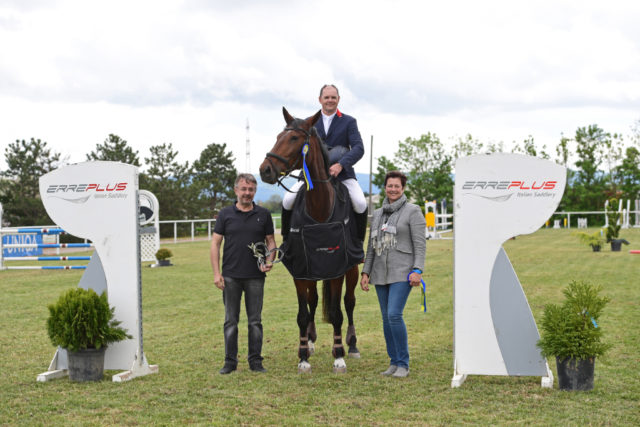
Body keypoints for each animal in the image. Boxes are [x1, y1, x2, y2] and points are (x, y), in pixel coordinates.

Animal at [258, 108, 360, 374]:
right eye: (278, 136)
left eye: (294, 138)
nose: (265, 170)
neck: (319, 208)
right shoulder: (300, 270)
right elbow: (303, 313)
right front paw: (303, 356)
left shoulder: (337, 269)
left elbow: (336, 312)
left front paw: (339, 356)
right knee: (313, 302)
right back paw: (311, 341)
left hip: (353, 268)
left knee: (349, 302)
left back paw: (352, 345)